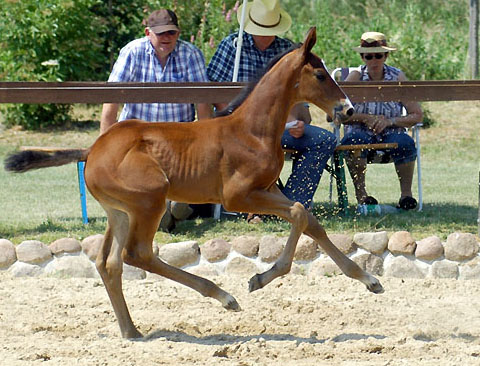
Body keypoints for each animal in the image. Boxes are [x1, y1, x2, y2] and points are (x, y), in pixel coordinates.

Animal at [5, 27, 382, 338]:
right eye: (320, 74)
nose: (348, 110)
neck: (251, 130)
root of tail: (93, 149)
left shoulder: (269, 188)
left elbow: (311, 221)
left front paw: (369, 280)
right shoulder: (237, 197)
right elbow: (301, 213)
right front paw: (261, 278)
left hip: (121, 211)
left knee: (108, 262)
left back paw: (131, 331)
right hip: (151, 200)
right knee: (137, 254)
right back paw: (222, 296)